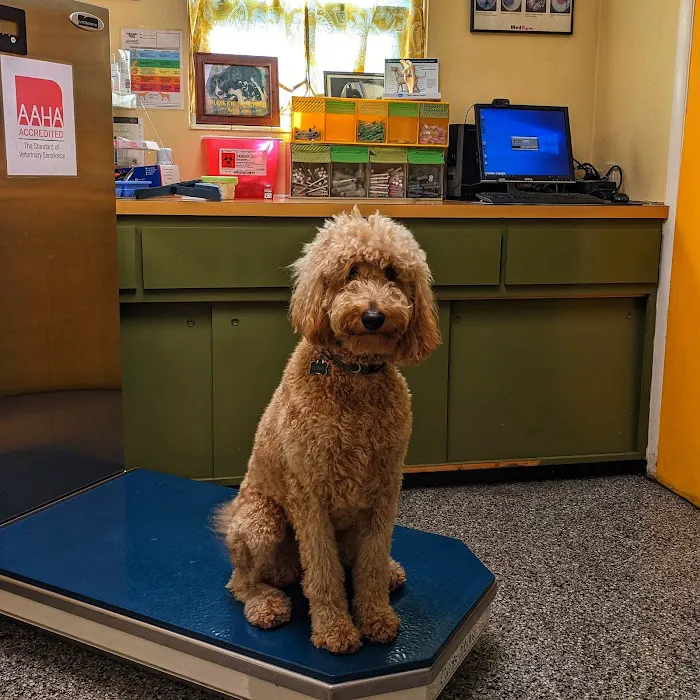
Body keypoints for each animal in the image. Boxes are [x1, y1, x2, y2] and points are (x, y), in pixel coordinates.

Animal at [214, 209, 441, 654]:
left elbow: (369, 567)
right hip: (262, 523)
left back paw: (390, 572)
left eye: (392, 273)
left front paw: (376, 617)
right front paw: (335, 629)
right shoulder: (310, 498)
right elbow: (323, 574)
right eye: (349, 271)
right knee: (240, 581)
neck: (353, 375)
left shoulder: (384, 492)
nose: (373, 316)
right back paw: (265, 603)